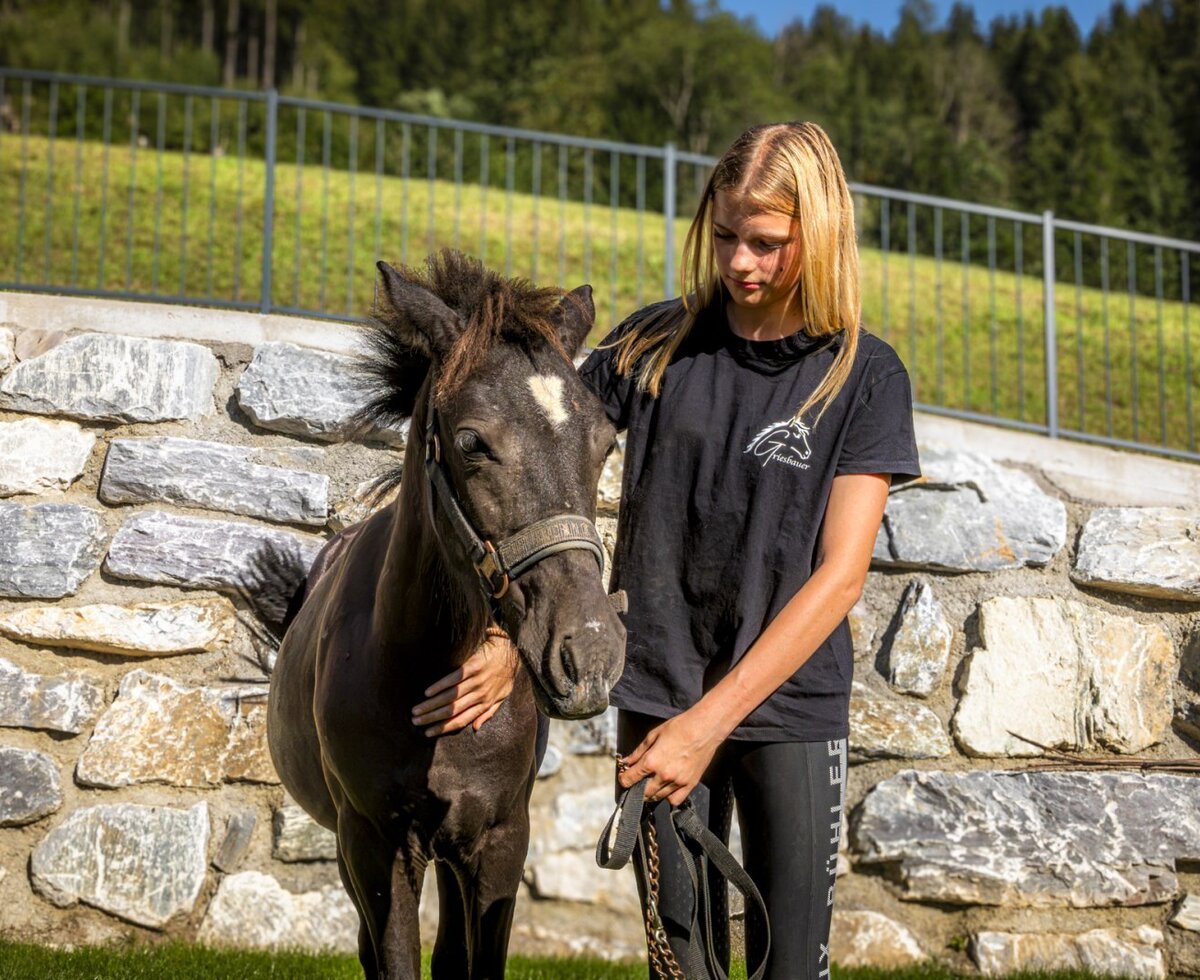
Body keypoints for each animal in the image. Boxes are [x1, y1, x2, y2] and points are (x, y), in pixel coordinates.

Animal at [265, 250, 626, 979]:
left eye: (605, 442)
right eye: (471, 442)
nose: (589, 657)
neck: (420, 665)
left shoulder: (499, 840)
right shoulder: (374, 845)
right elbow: (395, 959)